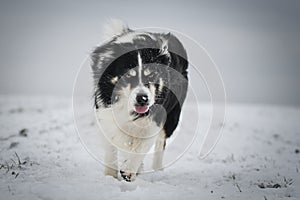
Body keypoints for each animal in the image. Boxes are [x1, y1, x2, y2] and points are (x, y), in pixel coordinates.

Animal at [90, 19, 188, 181]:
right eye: (129, 75)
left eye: (152, 75)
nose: (143, 99)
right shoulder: (106, 112)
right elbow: (112, 145)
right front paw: (110, 176)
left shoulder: (155, 117)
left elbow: (141, 146)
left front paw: (129, 170)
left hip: (172, 115)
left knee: (160, 142)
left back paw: (156, 170)